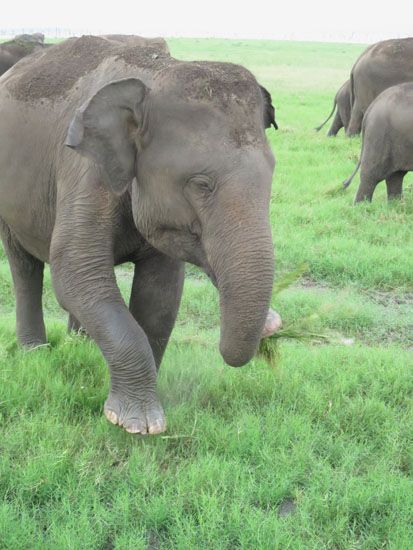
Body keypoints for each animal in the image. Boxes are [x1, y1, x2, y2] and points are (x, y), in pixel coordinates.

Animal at [0, 36, 280, 438]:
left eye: (272, 174)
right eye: (201, 184)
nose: (272, 327)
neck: (155, 74)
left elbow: (160, 293)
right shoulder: (84, 171)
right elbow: (75, 273)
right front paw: (137, 424)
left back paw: (80, 341)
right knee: (25, 265)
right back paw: (34, 351)